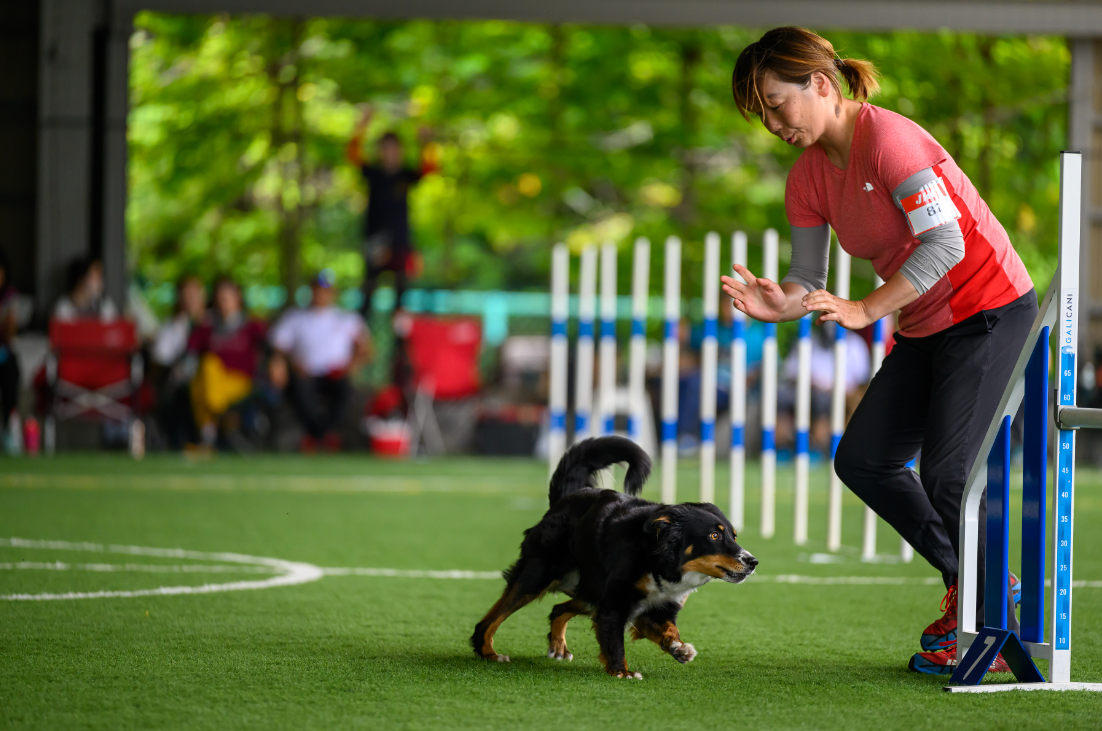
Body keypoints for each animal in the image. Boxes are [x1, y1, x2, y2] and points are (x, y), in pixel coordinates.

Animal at [469, 434, 762, 679]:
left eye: (734, 536)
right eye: (714, 536)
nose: (753, 562)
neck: (656, 559)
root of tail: (567, 498)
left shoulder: (655, 607)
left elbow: (669, 630)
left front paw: (678, 648)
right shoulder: (615, 603)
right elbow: (613, 640)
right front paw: (622, 672)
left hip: (590, 590)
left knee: (558, 609)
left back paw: (558, 647)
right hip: (537, 575)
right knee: (489, 621)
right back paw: (489, 653)